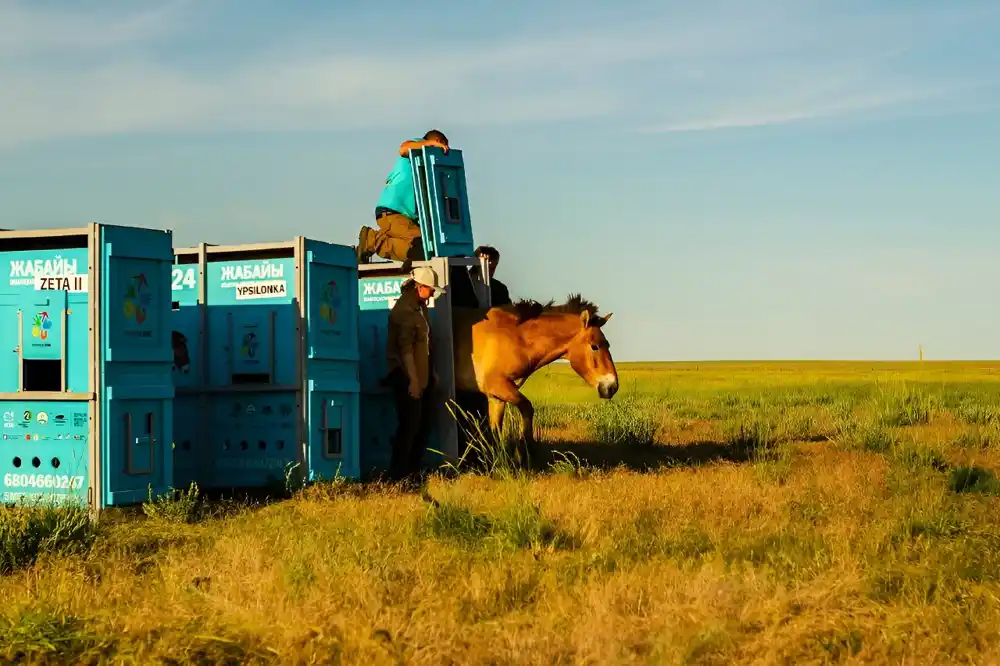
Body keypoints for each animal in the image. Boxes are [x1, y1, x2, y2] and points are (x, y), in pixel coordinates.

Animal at [452, 294, 616, 464]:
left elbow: (496, 430)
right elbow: (527, 408)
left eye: (607, 344)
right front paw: (523, 453)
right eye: (594, 346)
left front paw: (497, 460)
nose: (612, 386)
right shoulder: (498, 386)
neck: (515, 337)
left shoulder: (496, 397)